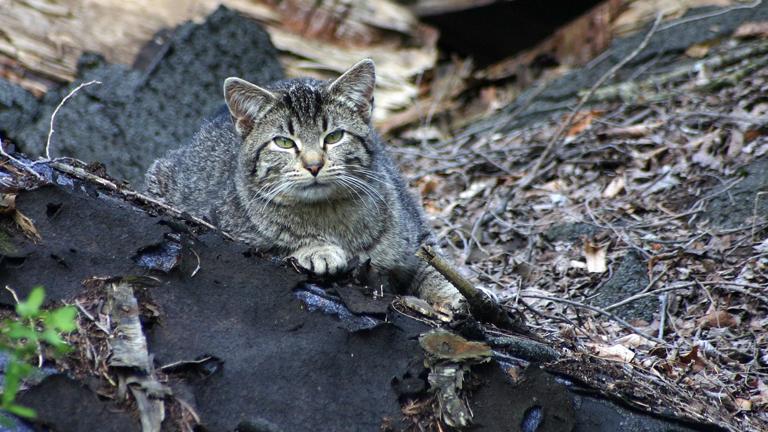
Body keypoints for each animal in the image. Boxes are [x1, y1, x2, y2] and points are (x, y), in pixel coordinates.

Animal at [146, 60, 464, 310]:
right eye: (284, 142)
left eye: (334, 136)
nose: (314, 164)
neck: (329, 214)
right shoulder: (227, 232)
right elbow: (278, 245)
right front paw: (317, 249)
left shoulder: (418, 231)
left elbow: (438, 268)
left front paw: (455, 295)